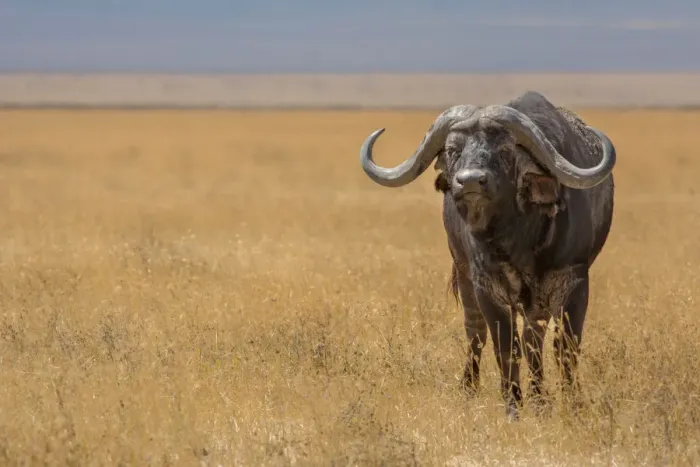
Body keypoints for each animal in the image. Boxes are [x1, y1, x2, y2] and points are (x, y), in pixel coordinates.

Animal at [359, 91, 616, 419]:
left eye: (505, 150)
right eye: (453, 150)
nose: (469, 181)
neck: (518, 239)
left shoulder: (574, 280)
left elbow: (565, 346)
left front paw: (571, 404)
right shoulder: (487, 286)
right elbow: (505, 346)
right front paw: (513, 407)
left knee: (534, 339)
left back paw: (540, 398)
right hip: (464, 274)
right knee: (477, 333)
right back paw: (470, 387)